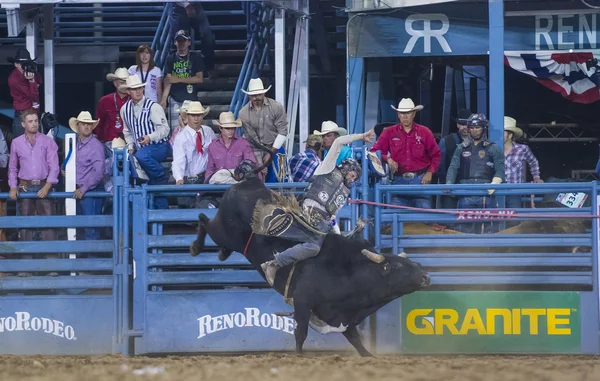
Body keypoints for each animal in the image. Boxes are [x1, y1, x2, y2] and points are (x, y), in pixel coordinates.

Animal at [190, 177, 428, 354]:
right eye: (397, 267)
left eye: (413, 262)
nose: (425, 277)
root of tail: (249, 181)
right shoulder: (303, 301)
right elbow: (300, 334)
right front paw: (298, 356)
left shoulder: (343, 319)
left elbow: (358, 343)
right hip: (223, 231)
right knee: (203, 219)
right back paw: (195, 247)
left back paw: (221, 253)